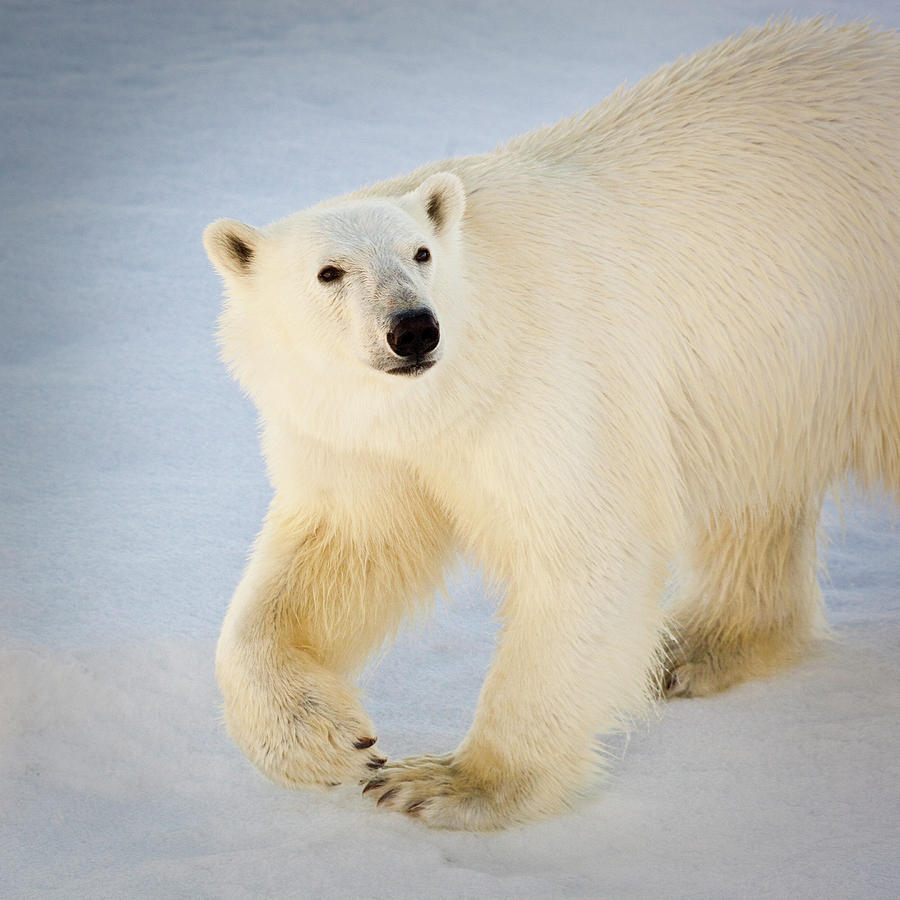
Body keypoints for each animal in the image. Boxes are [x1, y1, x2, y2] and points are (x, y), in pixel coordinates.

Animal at [204, 17, 900, 828]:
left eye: (421, 253)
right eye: (329, 272)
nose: (414, 329)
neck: (454, 388)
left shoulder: (550, 385)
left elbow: (585, 547)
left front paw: (447, 782)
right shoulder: (354, 436)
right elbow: (343, 549)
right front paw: (326, 741)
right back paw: (691, 648)